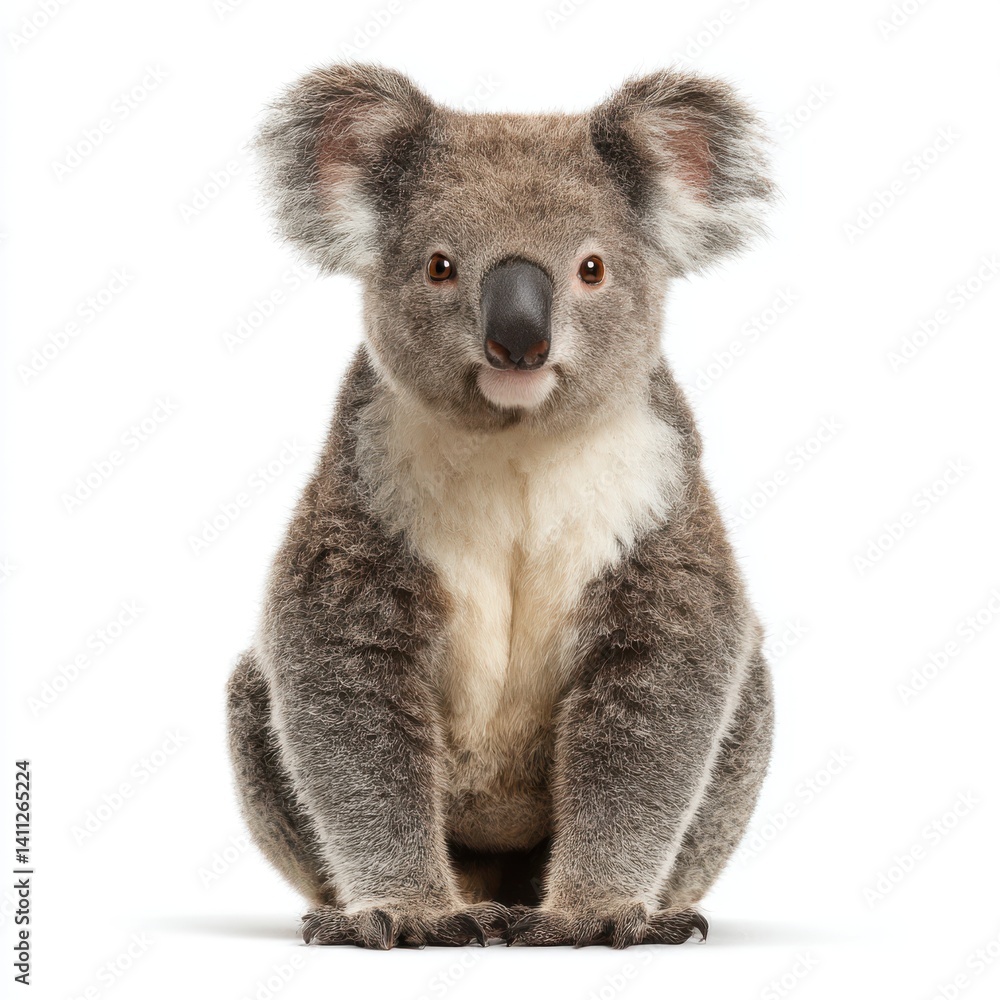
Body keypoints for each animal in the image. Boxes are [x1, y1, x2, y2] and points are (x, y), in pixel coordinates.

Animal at [226, 63, 775, 949]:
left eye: (591, 269)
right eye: (441, 266)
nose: (519, 338)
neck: (517, 445)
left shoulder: (661, 510)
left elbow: (658, 705)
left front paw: (595, 914)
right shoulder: (358, 507)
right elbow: (348, 706)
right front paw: (407, 914)